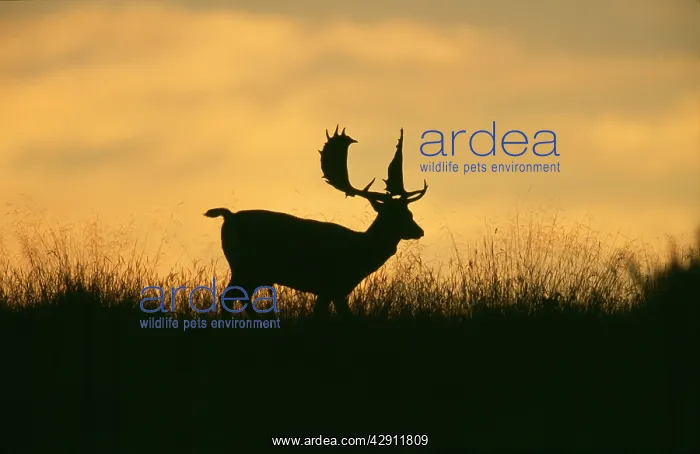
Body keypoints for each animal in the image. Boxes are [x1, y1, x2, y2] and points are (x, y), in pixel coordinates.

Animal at [204, 126, 428, 318]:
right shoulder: (333, 285)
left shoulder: (330, 290)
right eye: (394, 215)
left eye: (409, 212)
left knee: (240, 299)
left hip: (251, 270)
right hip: (244, 265)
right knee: (230, 297)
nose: (419, 231)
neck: (360, 252)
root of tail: (229, 216)